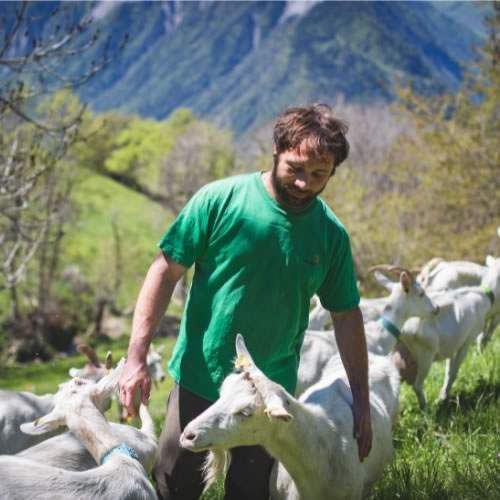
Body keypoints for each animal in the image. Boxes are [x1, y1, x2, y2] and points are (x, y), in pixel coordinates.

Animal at [398, 258, 500, 410]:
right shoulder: (467, 341)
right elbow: (454, 371)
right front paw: (443, 398)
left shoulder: (453, 345)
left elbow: (448, 371)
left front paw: (443, 395)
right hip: (425, 355)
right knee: (417, 385)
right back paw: (426, 408)